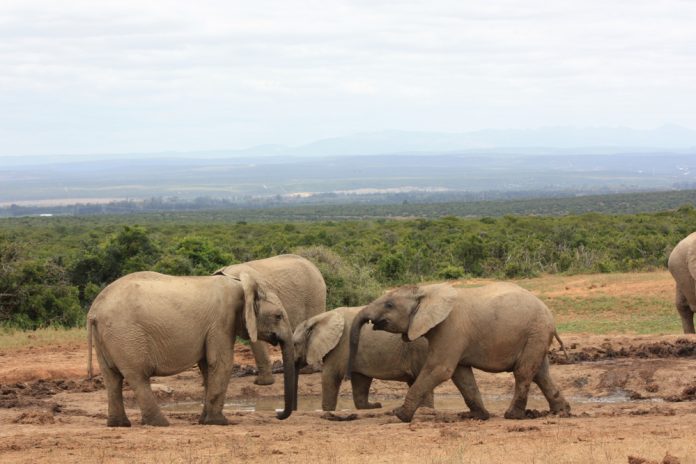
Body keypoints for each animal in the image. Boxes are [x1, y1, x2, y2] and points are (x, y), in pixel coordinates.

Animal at [87, 270, 296, 427]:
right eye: (278, 316)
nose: (277, 414)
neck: (242, 285)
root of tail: (94, 311)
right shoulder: (222, 321)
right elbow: (221, 363)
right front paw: (218, 422)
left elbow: (207, 367)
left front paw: (205, 420)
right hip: (126, 335)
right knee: (137, 377)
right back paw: (160, 423)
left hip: (109, 337)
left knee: (112, 378)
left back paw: (119, 424)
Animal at [292, 306, 433, 411]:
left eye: (294, 344)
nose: (293, 411)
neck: (319, 318)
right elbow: (360, 380)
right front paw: (373, 406)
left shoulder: (340, 348)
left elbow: (329, 376)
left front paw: (327, 411)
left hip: (420, 348)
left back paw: (425, 409)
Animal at [348, 282, 570, 422]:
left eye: (389, 305)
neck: (426, 291)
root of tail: (549, 314)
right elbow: (461, 375)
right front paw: (478, 416)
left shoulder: (450, 329)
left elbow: (440, 370)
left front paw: (399, 415)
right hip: (536, 335)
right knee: (540, 373)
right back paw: (562, 412)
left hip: (536, 331)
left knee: (523, 372)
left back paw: (512, 416)